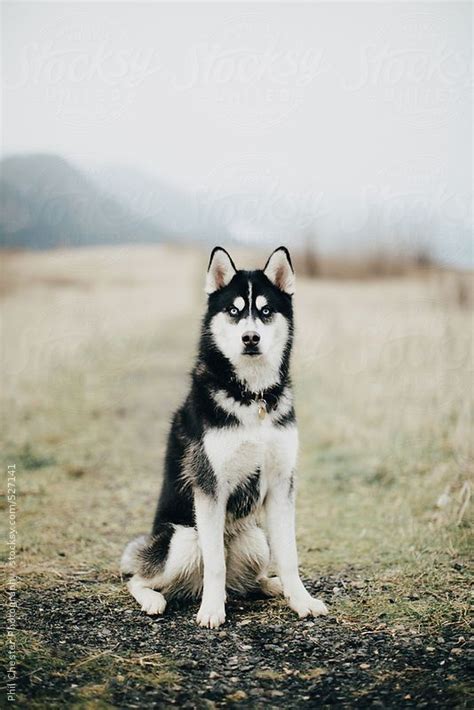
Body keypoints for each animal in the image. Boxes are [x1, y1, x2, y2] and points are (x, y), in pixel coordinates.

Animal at [121, 246, 330, 628]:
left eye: (265, 311)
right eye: (234, 310)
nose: (250, 338)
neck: (253, 396)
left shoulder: (282, 483)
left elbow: (289, 556)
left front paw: (301, 600)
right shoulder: (209, 486)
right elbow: (214, 563)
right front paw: (211, 611)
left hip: (256, 540)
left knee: (251, 579)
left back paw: (272, 585)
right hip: (183, 540)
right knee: (141, 578)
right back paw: (156, 599)